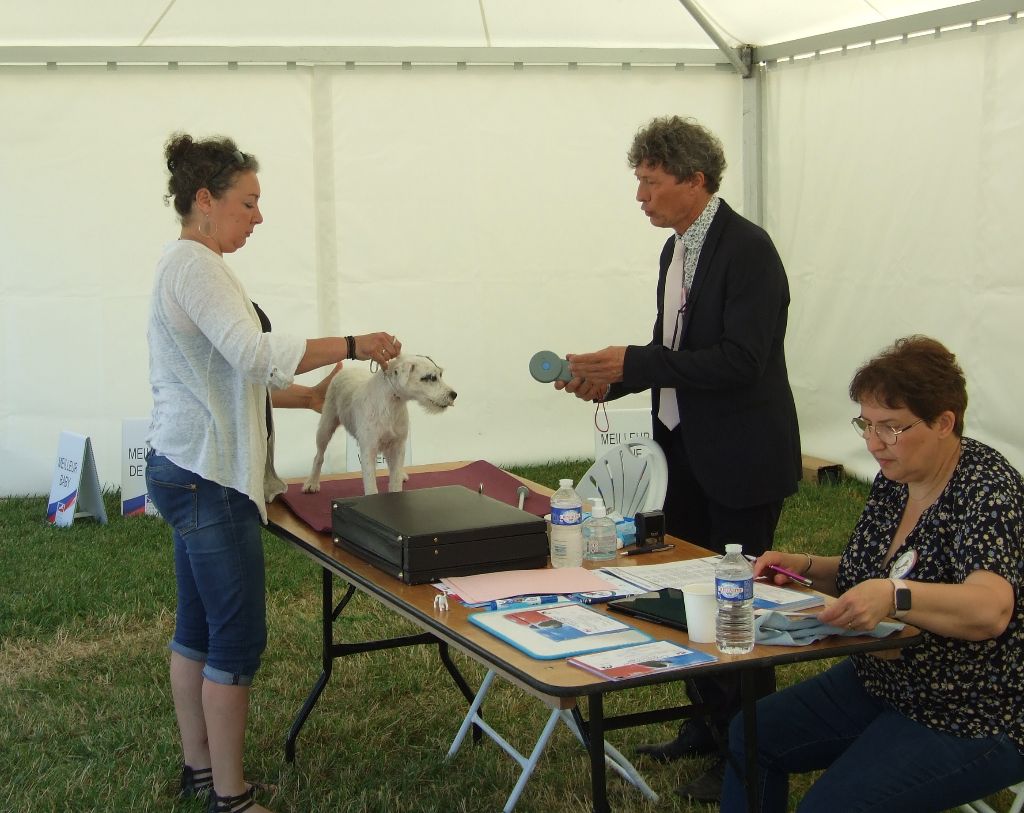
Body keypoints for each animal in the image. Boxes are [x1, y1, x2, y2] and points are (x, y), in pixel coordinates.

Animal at [302, 354, 457, 495]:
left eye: (440, 374)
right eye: (430, 377)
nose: (454, 394)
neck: (391, 403)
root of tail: (345, 370)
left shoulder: (398, 445)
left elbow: (395, 478)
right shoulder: (369, 449)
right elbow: (371, 484)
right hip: (325, 428)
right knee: (319, 456)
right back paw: (312, 483)